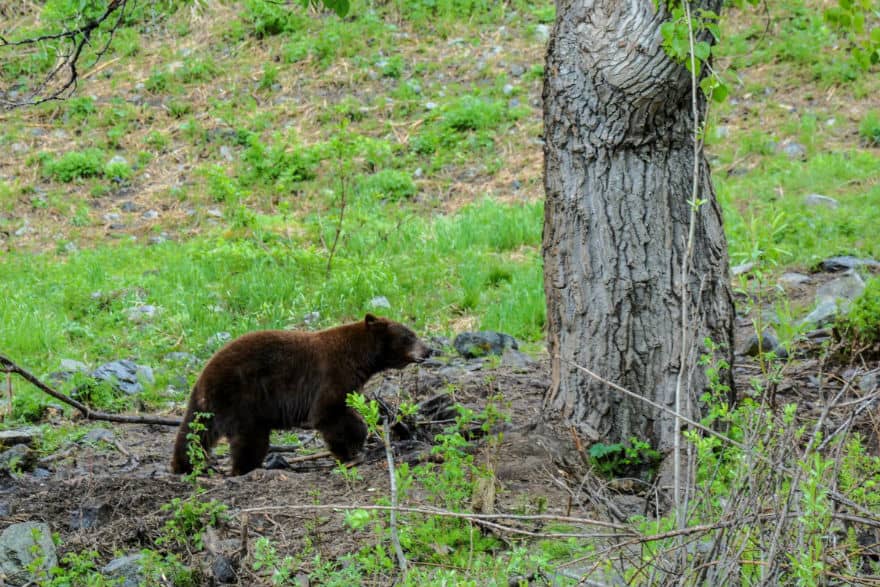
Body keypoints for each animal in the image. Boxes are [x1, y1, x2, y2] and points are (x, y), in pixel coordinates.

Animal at [171, 314, 431, 476]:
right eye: (409, 336)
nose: (429, 350)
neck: (360, 357)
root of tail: (203, 379)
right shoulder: (332, 374)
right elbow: (328, 413)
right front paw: (351, 450)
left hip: (208, 406)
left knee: (193, 432)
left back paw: (183, 465)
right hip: (242, 399)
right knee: (249, 438)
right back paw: (245, 468)